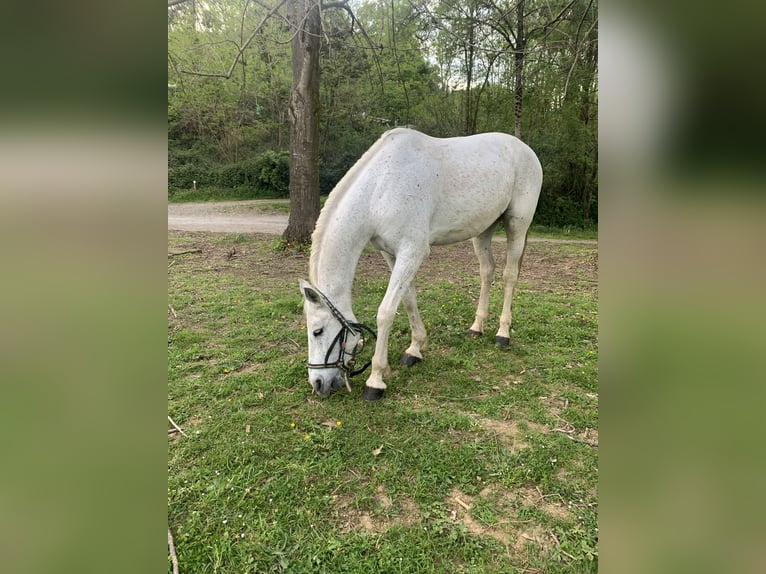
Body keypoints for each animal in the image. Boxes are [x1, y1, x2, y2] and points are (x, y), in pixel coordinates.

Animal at [300, 127, 542, 401]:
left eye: (317, 331)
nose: (318, 383)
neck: (380, 189)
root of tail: (524, 148)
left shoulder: (412, 252)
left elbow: (386, 312)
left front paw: (376, 380)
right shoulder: (391, 253)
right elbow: (408, 300)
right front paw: (414, 350)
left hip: (517, 226)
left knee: (509, 275)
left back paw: (503, 334)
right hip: (483, 229)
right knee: (487, 271)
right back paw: (477, 327)